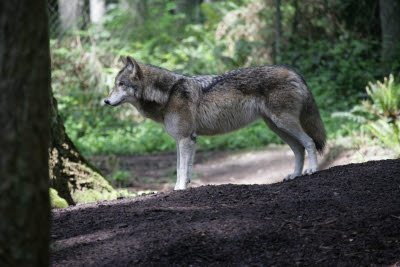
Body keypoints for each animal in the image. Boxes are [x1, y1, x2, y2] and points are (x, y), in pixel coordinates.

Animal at [104, 56, 326, 191]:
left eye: (121, 85)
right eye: (115, 85)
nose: (105, 101)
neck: (167, 94)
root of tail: (293, 71)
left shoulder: (185, 139)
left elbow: (180, 170)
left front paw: (178, 189)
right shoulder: (185, 140)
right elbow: (183, 169)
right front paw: (181, 187)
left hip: (284, 123)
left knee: (309, 142)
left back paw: (312, 170)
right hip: (276, 127)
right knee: (298, 148)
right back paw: (295, 175)